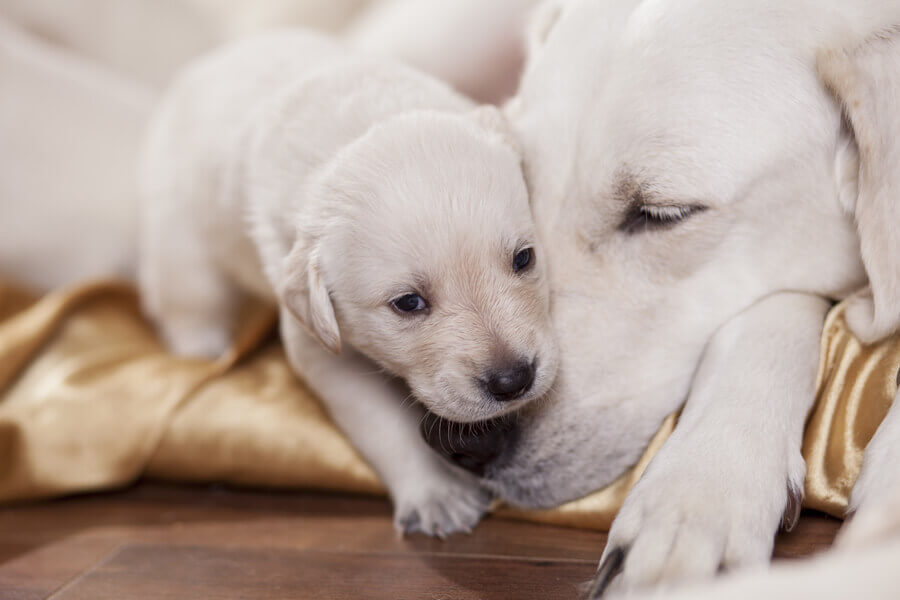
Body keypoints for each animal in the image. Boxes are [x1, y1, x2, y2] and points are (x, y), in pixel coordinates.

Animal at [137, 31, 560, 540]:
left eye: (524, 258)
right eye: (408, 303)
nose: (513, 381)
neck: (358, 125)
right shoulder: (319, 343)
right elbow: (382, 423)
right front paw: (435, 494)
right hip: (180, 235)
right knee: (185, 297)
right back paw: (202, 346)